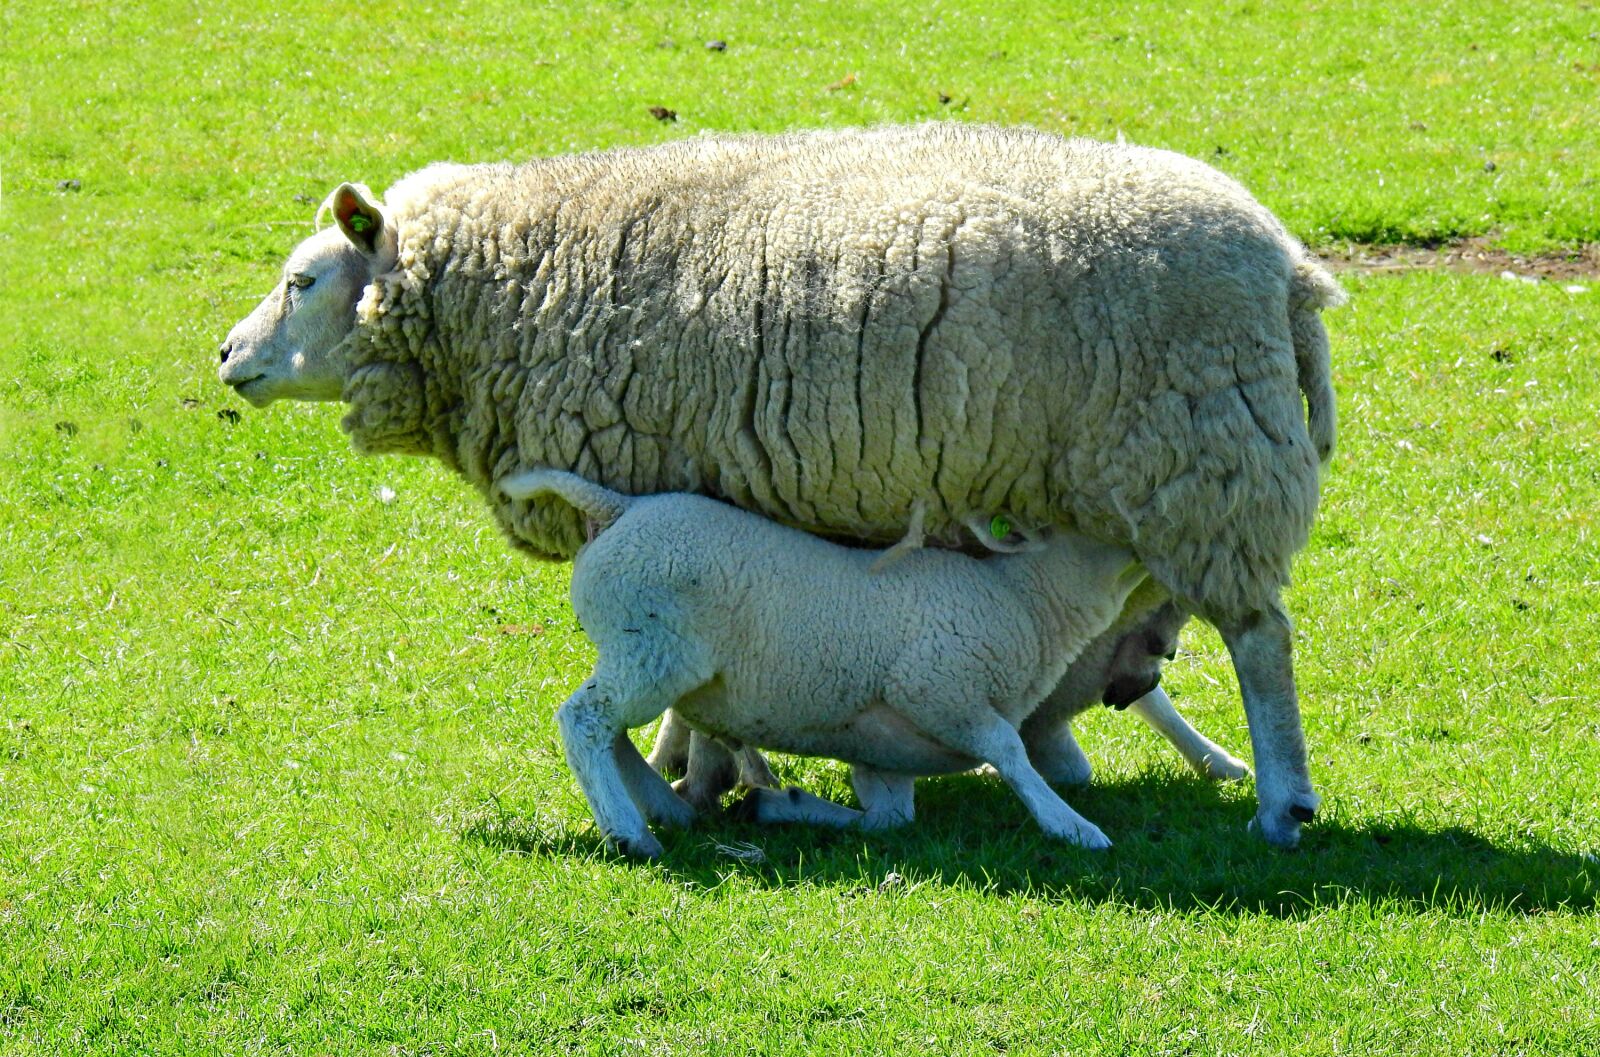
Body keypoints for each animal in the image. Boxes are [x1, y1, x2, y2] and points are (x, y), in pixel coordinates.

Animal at [500, 468, 1151, 857]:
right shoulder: (937, 689)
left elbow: (890, 819)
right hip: (652, 646)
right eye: (1094, 520)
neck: (1026, 601)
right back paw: (630, 832)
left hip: (645, 656)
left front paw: (781, 807)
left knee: (611, 733)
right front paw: (1071, 825)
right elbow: (1010, 752)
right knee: (585, 722)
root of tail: (619, 508)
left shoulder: (886, 754)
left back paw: (668, 810)